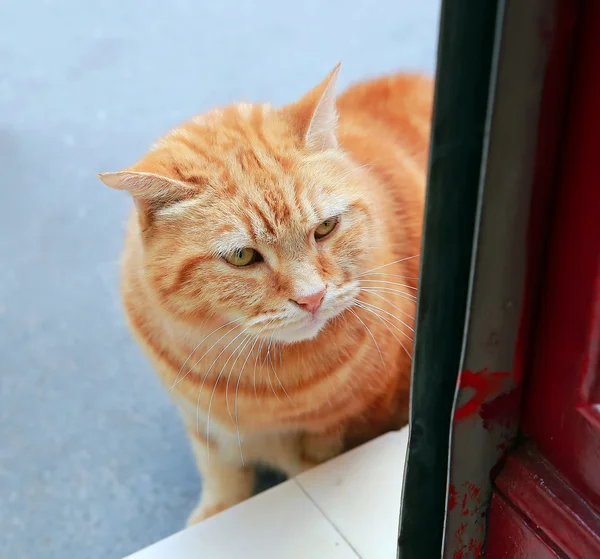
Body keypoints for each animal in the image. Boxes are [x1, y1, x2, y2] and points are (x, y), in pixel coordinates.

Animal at [97, 64, 432, 524]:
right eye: (243, 256)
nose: (312, 298)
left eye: (325, 227)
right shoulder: (203, 424)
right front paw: (215, 512)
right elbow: (222, 474)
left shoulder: (341, 430)